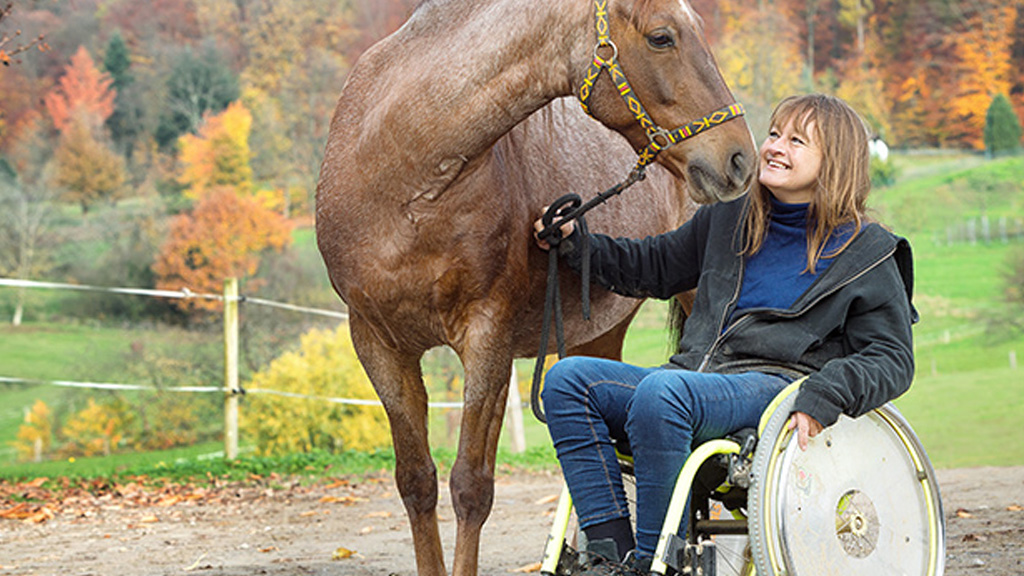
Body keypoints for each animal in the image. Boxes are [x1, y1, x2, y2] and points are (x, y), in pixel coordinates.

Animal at [315, 2, 757, 569]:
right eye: (662, 37)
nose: (739, 157)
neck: (400, 174)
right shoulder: (377, 344)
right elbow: (416, 482)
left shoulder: (487, 340)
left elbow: (471, 487)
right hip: (598, 334)